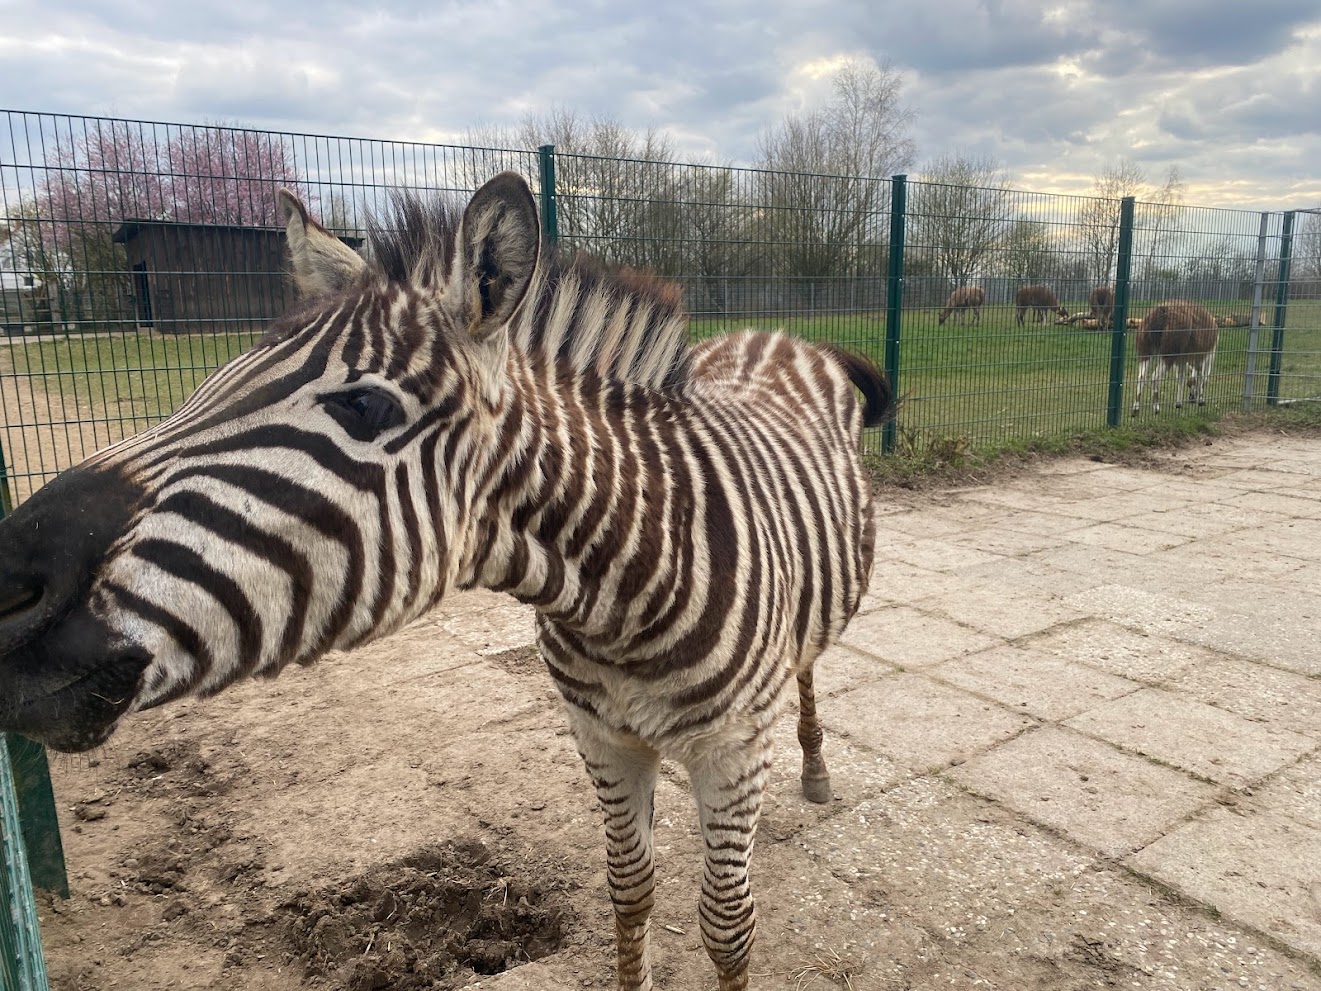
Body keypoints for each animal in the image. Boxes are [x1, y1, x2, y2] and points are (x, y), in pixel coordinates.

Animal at [0, 172, 892, 991]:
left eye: (363, 406)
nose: (8, 587)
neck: (619, 596)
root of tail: (774, 334)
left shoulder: (731, 752)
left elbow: (726, 925)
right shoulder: (599, 737)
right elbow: (629, 888)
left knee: (806, 667)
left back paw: (815, 767)